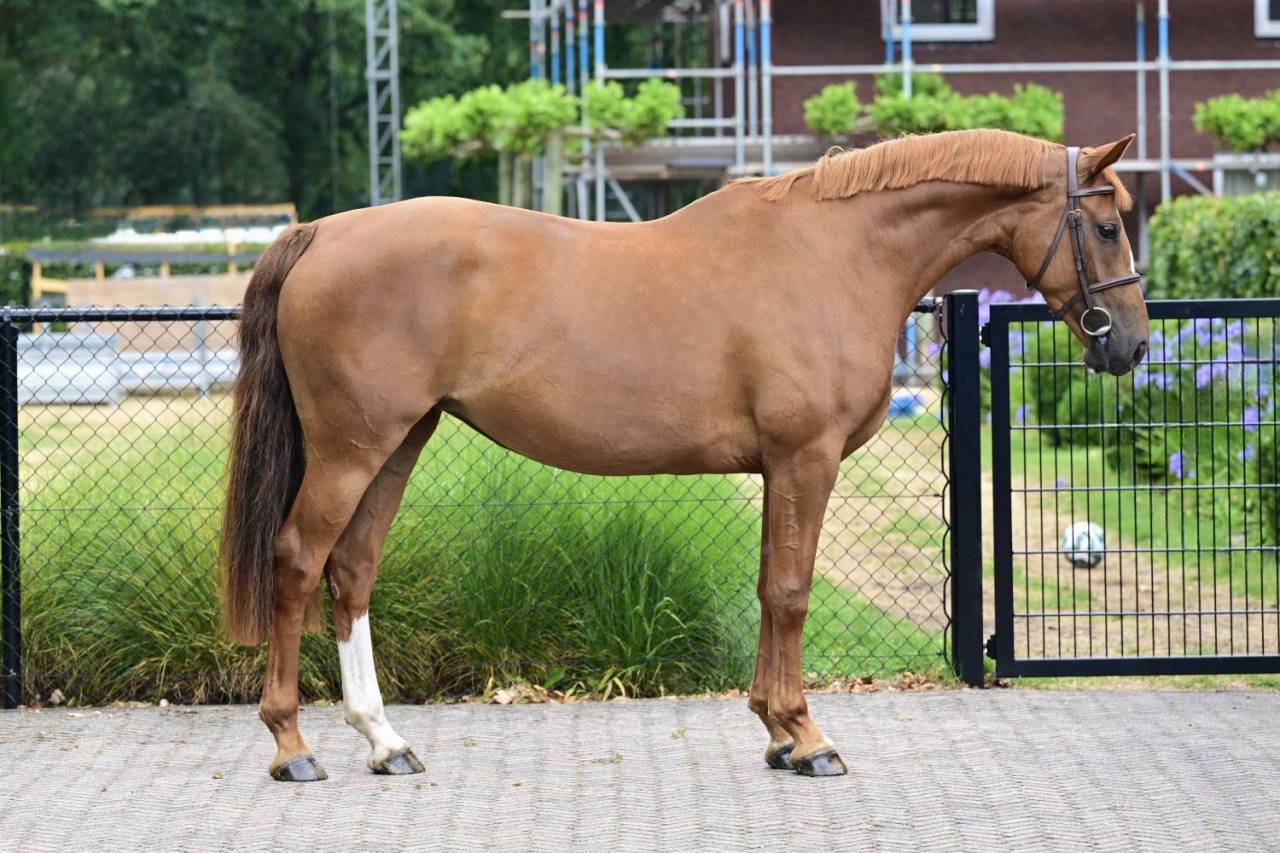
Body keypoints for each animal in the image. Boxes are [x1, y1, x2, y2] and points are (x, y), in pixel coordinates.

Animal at [220, 128, 1149, 781]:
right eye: (1106, 225)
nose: (1132, 346)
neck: (836, 253)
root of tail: (318, 235)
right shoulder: (806, 459)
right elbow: (791, 592)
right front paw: (807, 735)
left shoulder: (781, 467)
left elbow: (773, 590)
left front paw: (777, 733)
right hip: (351, 449)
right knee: (297, 561)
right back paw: (292, 745)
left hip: (398, 441)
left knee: (352, 570)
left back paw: (385, 740)